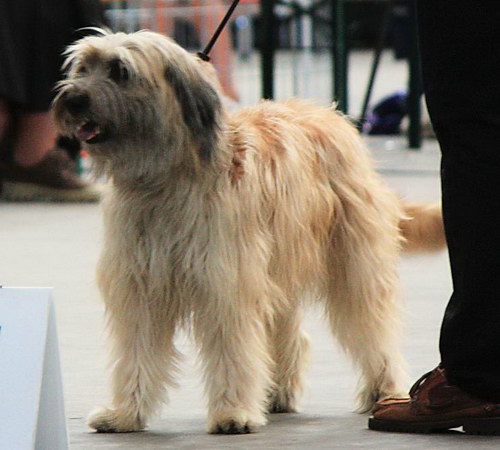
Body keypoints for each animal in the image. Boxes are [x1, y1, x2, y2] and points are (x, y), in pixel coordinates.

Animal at [53, 29, 446, 436]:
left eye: (120, 71)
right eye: (82, 68)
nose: (73, 100)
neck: (164, 179)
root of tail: (335, 116)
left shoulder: (227, 282)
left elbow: (233, 349)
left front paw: (233, 413)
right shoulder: (140, 285)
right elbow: (136, 352)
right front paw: (125, 413)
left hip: (353, 263)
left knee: (371, 325)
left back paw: (383, 391)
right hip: (281, 265)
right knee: (290, 334)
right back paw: (278, 392)